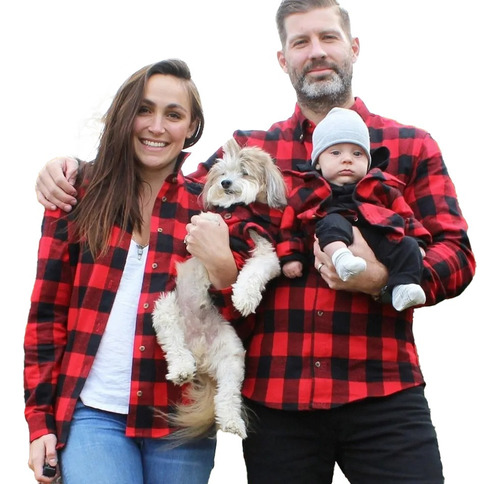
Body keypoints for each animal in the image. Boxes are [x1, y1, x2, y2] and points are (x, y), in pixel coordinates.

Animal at [150, 138, 288, 440]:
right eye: (223, 171)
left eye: (244, 172)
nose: (225, 182)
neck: (238, 211)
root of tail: (199, 355)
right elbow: (211, 220)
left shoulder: (266, 251)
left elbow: (254, 272)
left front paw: (244, 298)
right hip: (166, 309)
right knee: (174, 345)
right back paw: (181, 369)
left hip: (232, 356)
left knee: (227, 395)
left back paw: (232, 422)